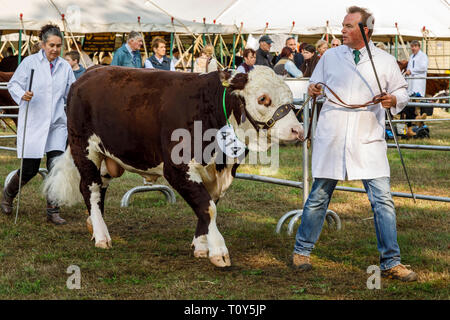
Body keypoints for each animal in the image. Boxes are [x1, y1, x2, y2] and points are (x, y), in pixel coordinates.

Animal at [44, 65, 304, 268]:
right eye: (263, 99)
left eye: (291, 99)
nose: (298, 130)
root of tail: (88, 73)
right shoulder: (177, 168)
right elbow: (208, 207)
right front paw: (219, 251)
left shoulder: (219, 175)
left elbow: (207, 206)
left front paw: (201, 245)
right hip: (85, 147)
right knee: (91, 187)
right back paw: (101, 234)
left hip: (110, 157)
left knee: (100, 187)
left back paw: (92, 224)